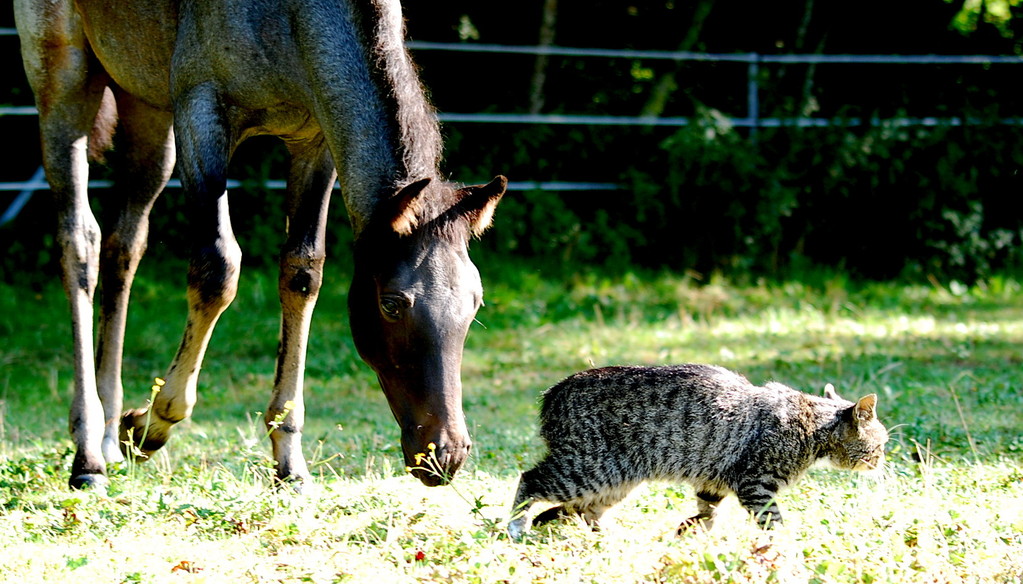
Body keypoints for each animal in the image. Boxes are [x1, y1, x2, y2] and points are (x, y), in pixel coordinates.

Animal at [14, 0, 507, 488]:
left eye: (476, 303)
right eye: (391, 305)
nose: (446, 454)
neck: (288, 20)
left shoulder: (314, 139)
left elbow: (303, 272)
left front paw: (289, 463)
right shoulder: (200, 112)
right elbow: (219, 269)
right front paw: (151, 424)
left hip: (145, 106)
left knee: (125, 246)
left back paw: (108, 440)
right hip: (64, 77)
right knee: (81, 242)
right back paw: (88, 453)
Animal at [509, 366, 887, 540]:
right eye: (881, 444)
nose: (883, 462)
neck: (813, 428)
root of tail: (552, 394)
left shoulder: (716, 482)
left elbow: (709, 512)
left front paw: (691, 530)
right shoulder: (755, 485)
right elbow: (773, 522)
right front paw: (784, 546)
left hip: (614, 481)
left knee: (586, 510)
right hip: (589, 469)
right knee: (530, 480)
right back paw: (517, 526)